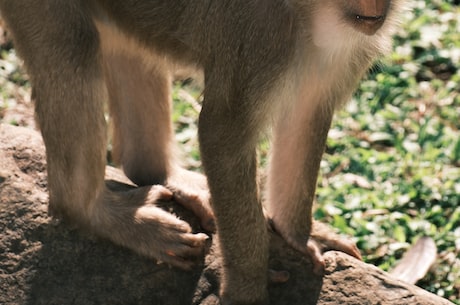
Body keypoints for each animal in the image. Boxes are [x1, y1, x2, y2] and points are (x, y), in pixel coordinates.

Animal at [0, 0, 402, 302]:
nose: (374, 5)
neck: (310, 14)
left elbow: (305, 115)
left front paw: (299, 234)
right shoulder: (258, 35)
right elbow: (221, 134)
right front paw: (246, 288)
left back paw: (159, 174)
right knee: (73, 47)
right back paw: (93, 212)